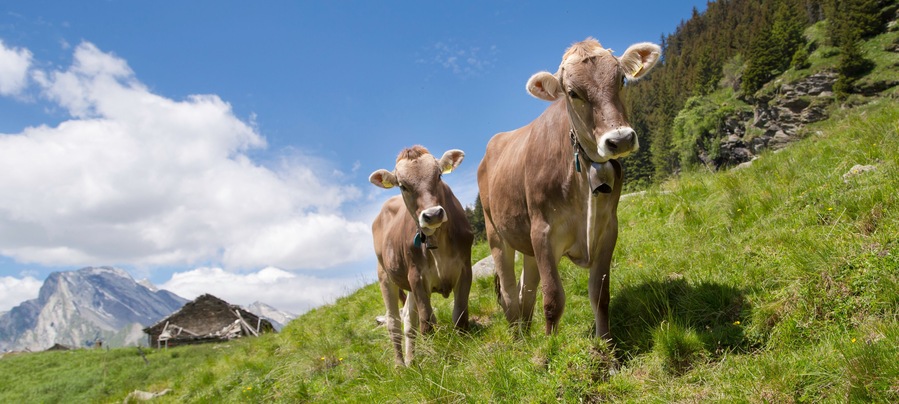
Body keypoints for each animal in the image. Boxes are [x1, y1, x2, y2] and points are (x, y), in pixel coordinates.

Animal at [370, 146, 474, 366]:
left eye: (439, 175)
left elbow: (460, 314)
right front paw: (435, 356)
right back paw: (400, 365)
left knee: (409, 321)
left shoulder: (465, 268)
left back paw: (411, 362)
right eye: (403, 186)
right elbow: (427, 322)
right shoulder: (416, 276)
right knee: (393, 323)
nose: (432, 214)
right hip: (384, 275)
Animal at [477, 38, 660, 341]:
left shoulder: (608, 228)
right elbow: (553, 299)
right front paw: (550, 348)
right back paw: (517, 339)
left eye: (621, 79)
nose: (620, 139)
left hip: (526, 242)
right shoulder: (542, 232)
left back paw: (527, 335)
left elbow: (600, 294)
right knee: (509, 290)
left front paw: (606, 344)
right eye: (573, 93)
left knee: (526, 289)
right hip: (496, 234)